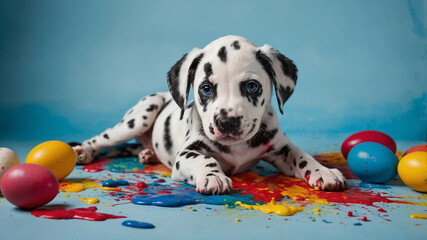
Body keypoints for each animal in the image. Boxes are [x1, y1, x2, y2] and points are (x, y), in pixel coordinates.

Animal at [74, 34, 348, 194]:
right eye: (206, 88)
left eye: (252, 87)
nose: (227, 122)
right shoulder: (187, 154)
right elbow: (205, 159)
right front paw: (213, 176)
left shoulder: (281, 148)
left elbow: (303, 156)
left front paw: (324, 171)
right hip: (139, 117)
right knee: (104, 138)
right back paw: (84, 150)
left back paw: (148, 153)